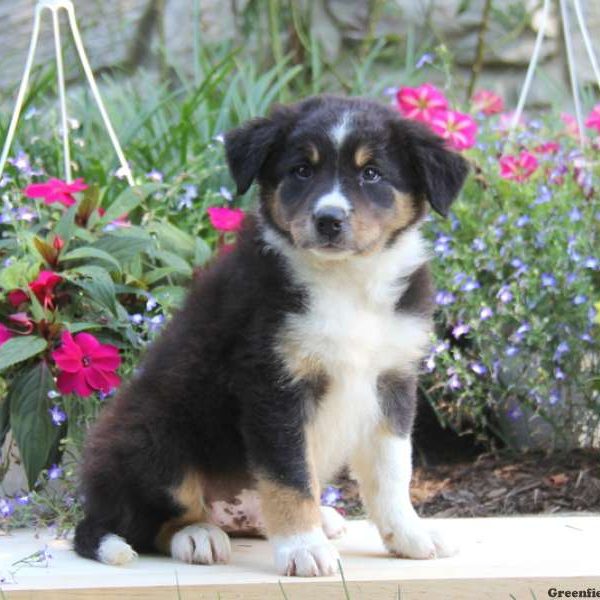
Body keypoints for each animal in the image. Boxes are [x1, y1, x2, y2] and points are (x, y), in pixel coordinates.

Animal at [75, 96, 468, 580]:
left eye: (372, 173)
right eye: (301, 170)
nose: (328, 220)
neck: (347, 283)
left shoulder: (392, 379)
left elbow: (392, 470)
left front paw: (411, 536)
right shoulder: (273, 386)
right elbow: (288, 476)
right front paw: (304, 550)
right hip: (151, 428)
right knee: (149, 522)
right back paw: (199, 535)